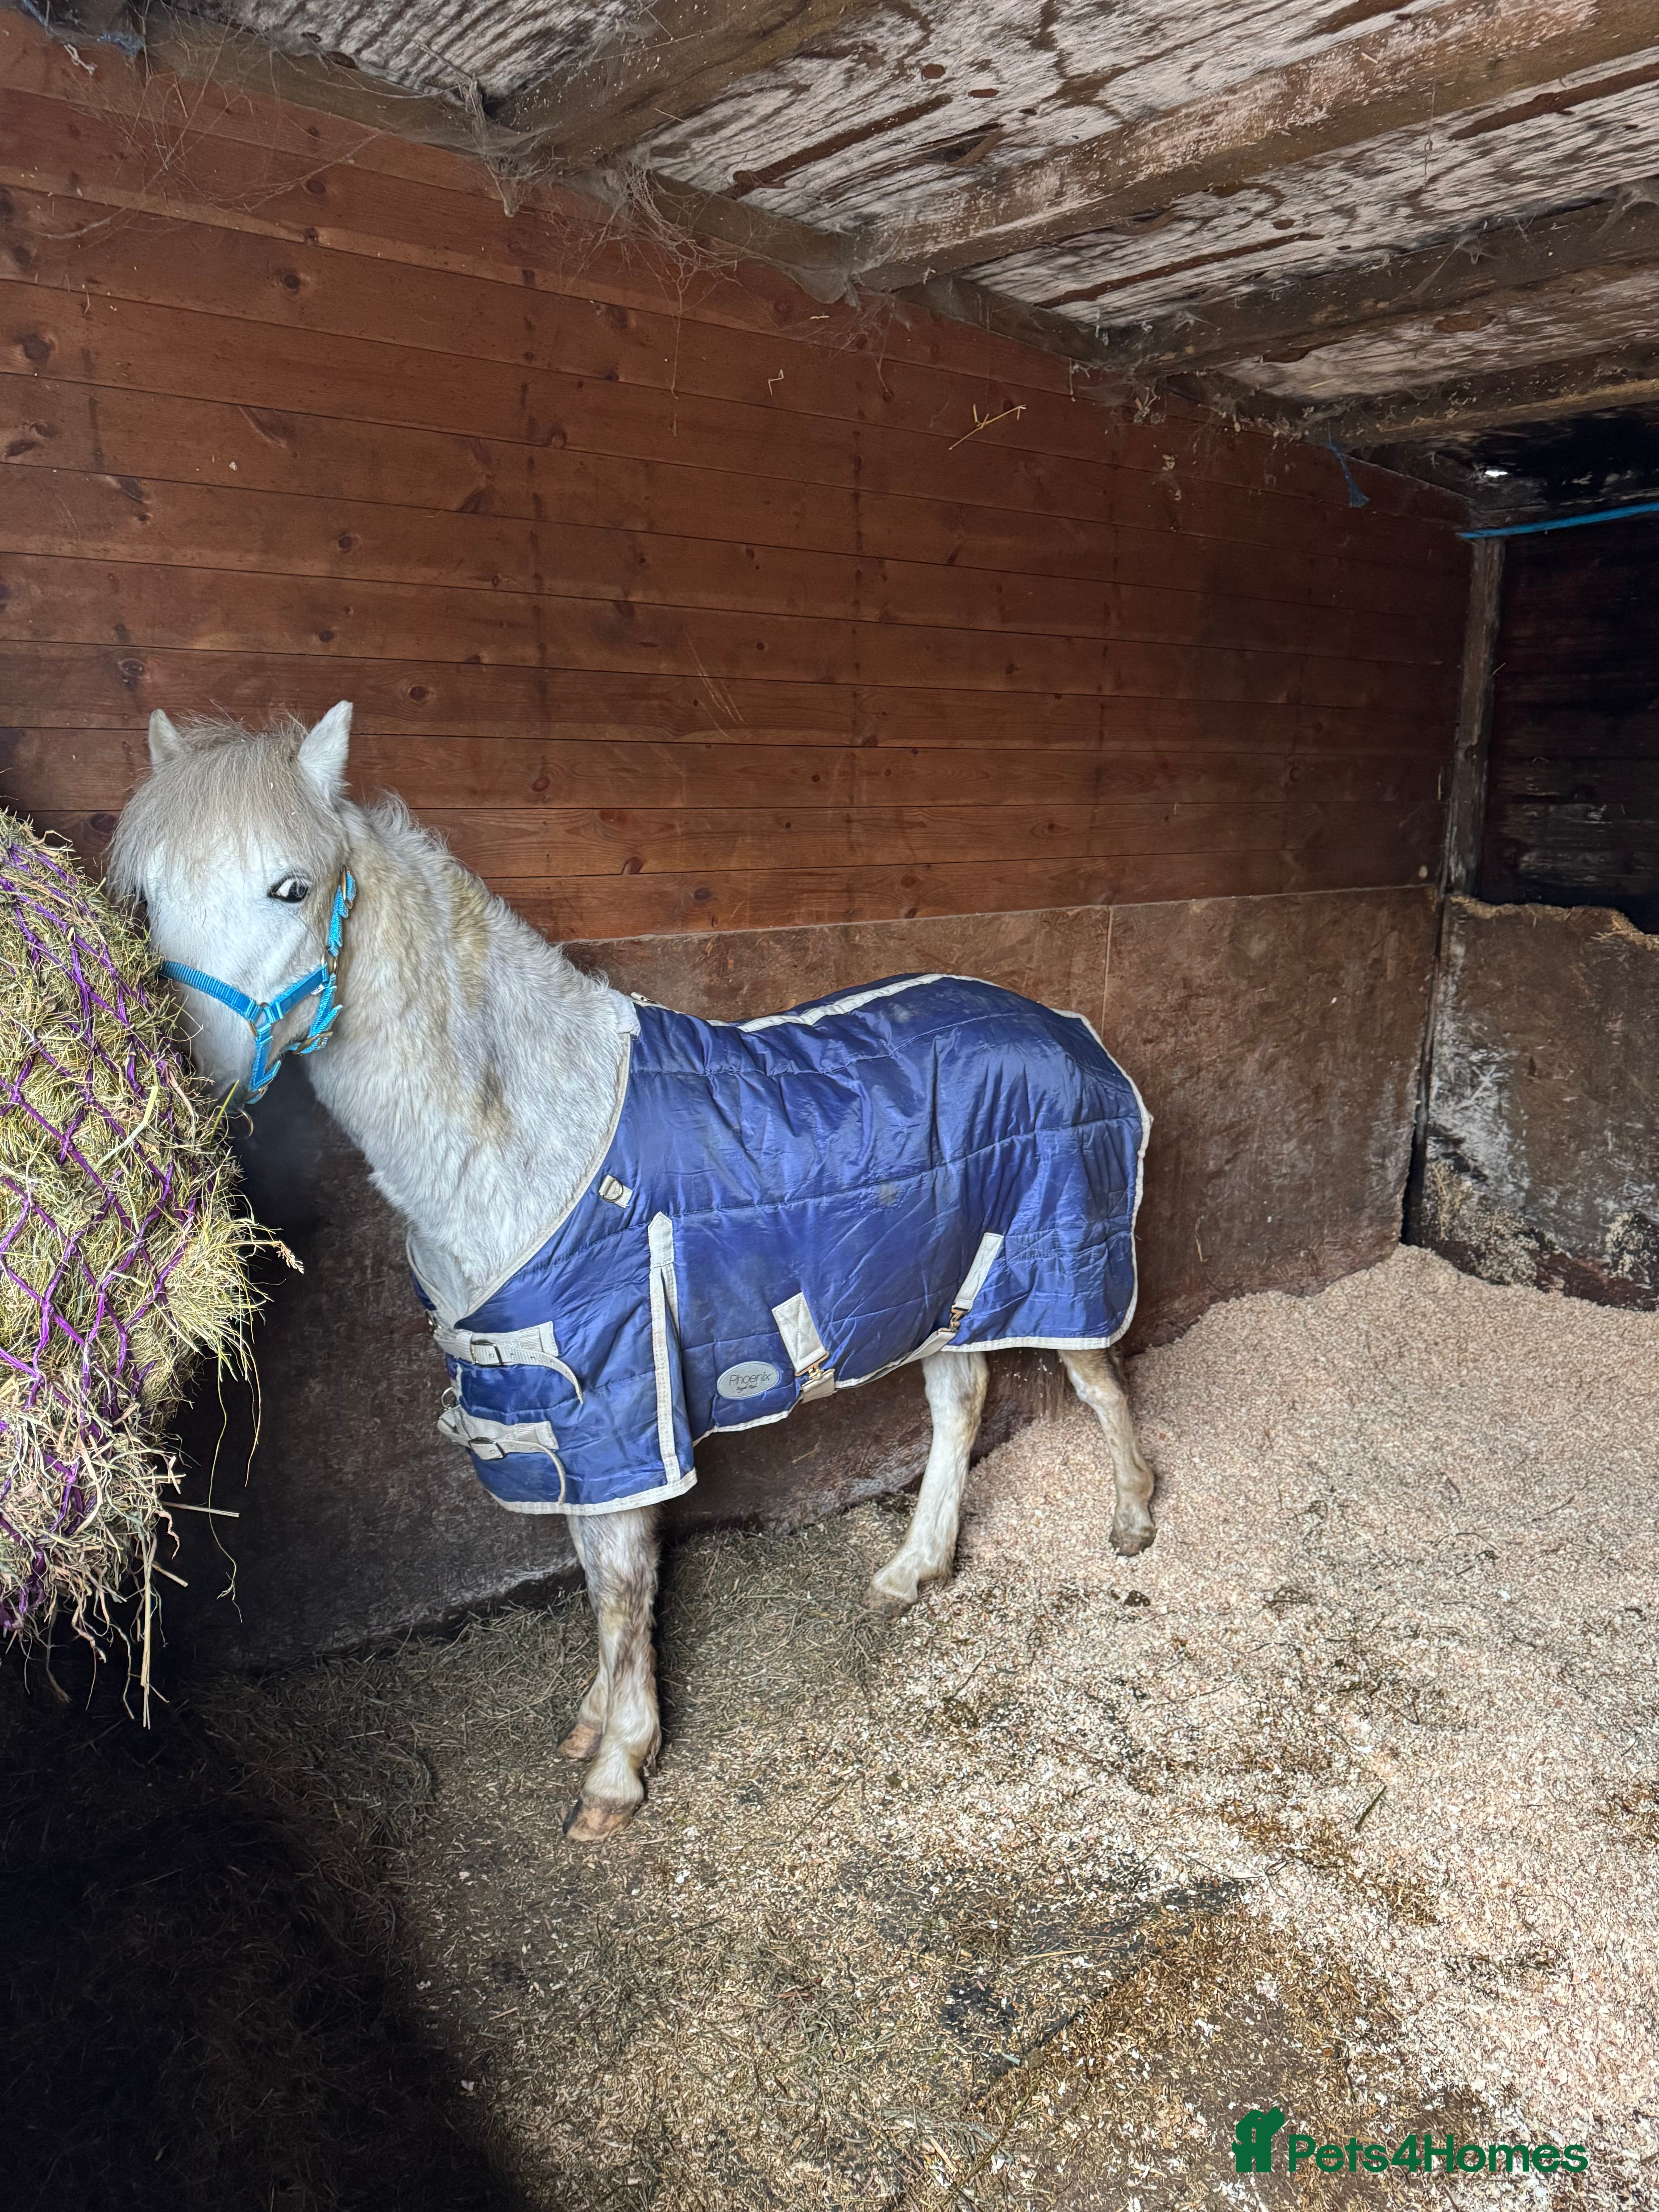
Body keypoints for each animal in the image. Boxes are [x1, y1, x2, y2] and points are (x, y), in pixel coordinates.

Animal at [111, 703, 1157, 1842]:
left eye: (291, 888)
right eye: (147, 898)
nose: (182, 1082)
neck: (527, 1133)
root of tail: (1058, 1025)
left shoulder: (618, 1389)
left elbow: (618, 1579)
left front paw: (618, 1771)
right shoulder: (556, 1406)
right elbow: (587, 1563)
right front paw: (595, 1722)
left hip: (1061, 1258)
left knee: (1099, 1378)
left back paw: (1134, 1520)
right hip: (934, 1293)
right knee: (960, 1403)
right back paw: (910, 1571)